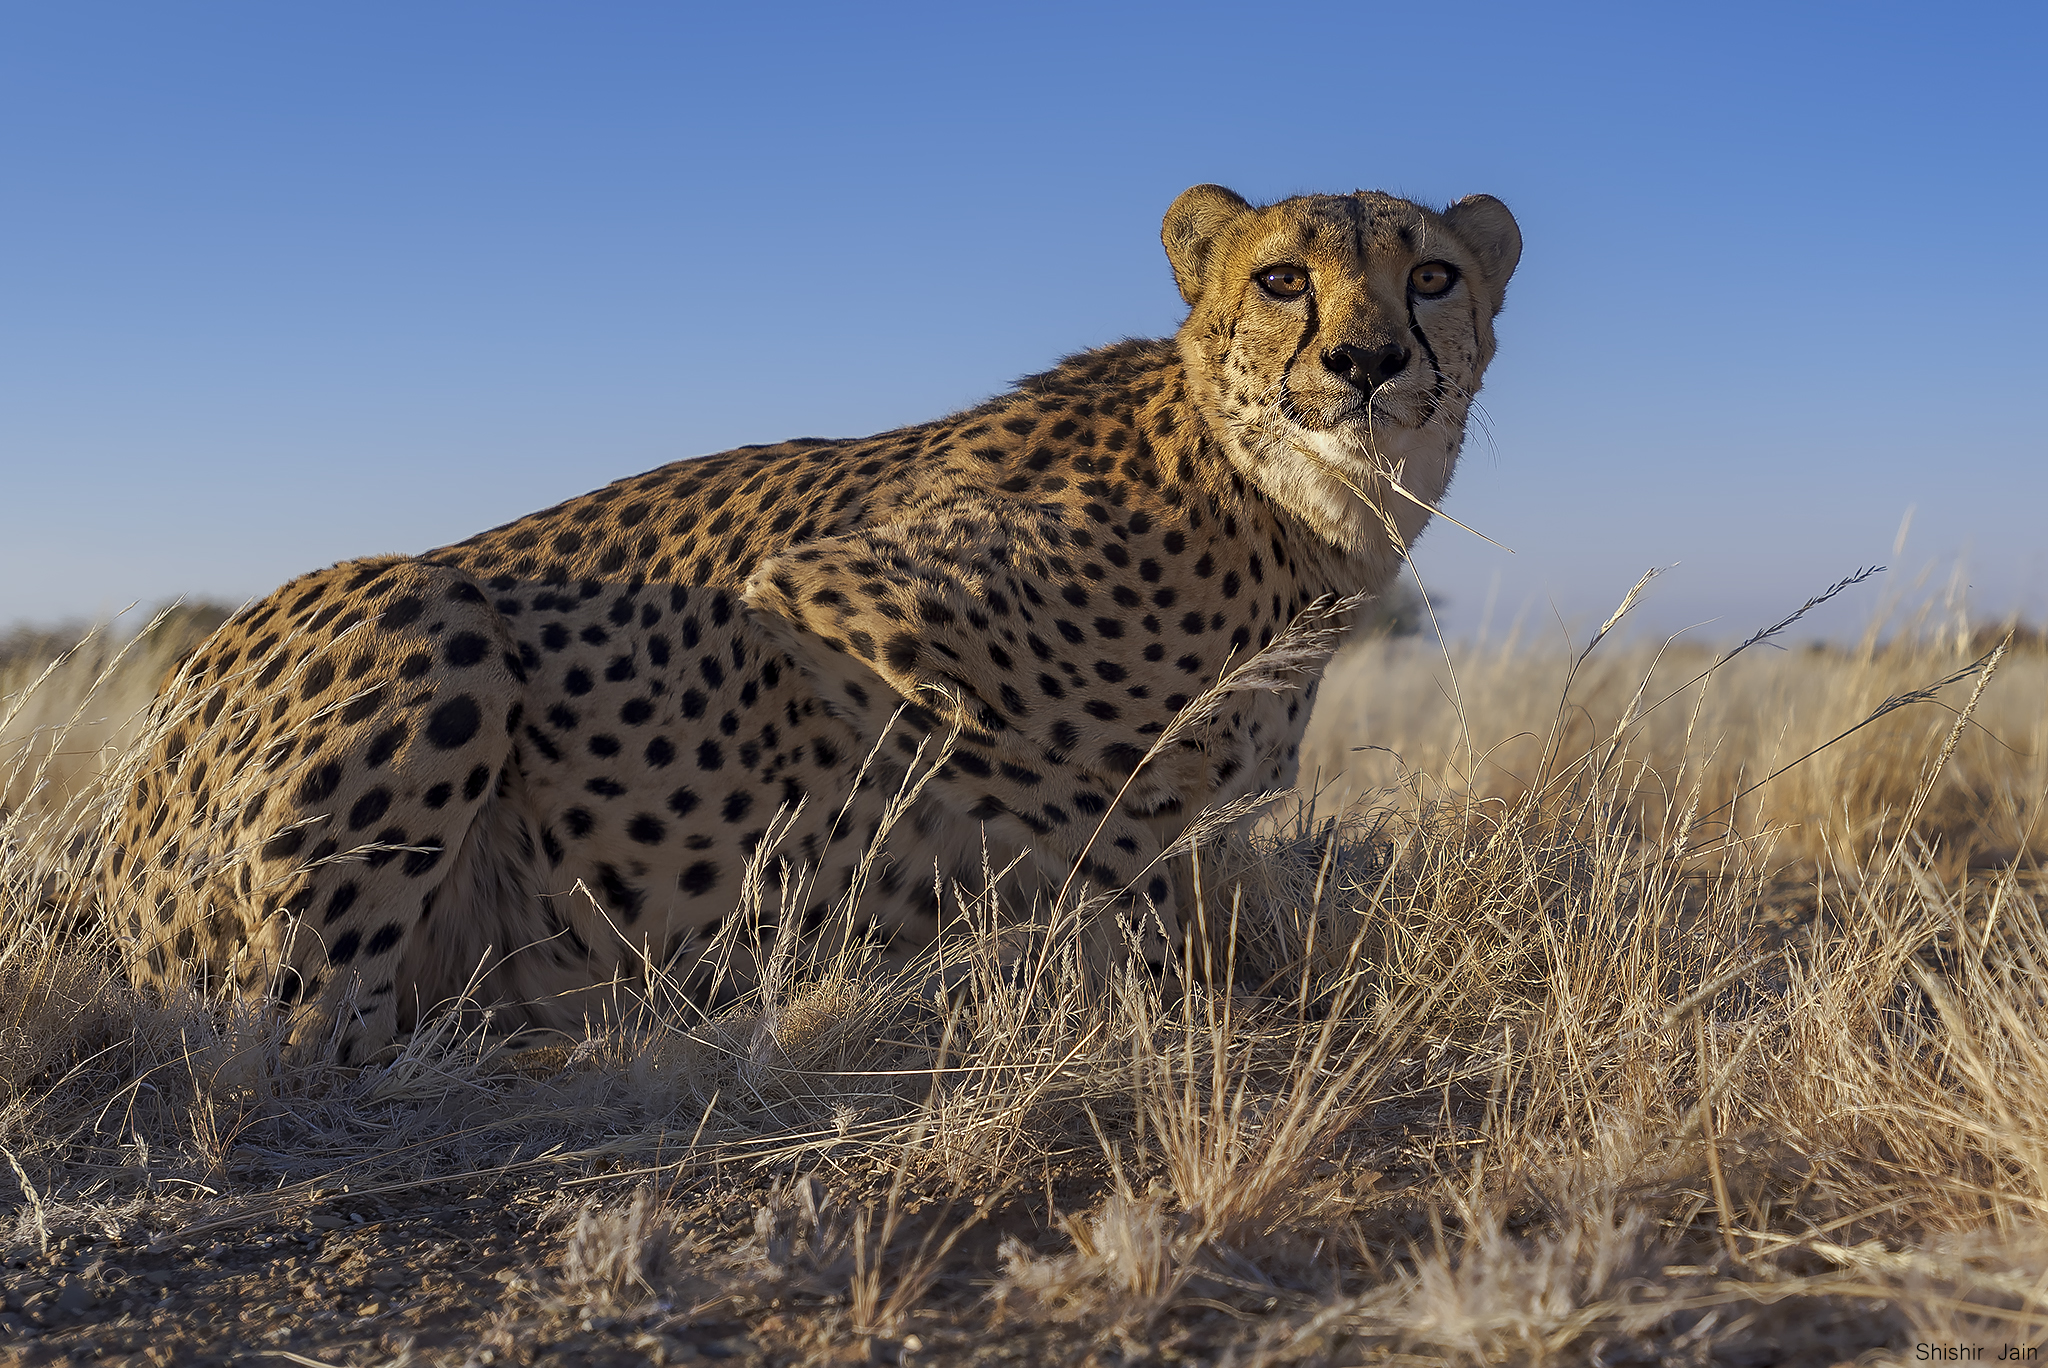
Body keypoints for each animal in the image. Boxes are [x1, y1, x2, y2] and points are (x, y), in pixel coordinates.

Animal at [112, 184, 1523, 1056]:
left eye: (1432, 276)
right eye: (1283, 278)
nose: (1365, 362)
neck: (1280, 498)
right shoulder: (826, 599)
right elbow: (1093, 825)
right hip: (424, 607)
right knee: (286, 1039)